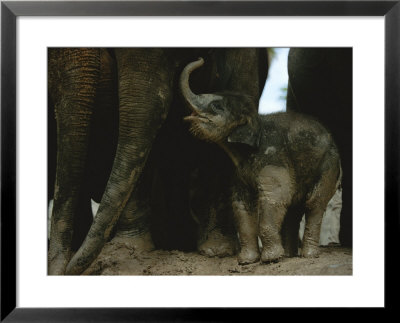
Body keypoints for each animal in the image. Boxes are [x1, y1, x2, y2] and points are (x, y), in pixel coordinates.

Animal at [180, 57, 340, 266]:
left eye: (217, 106)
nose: (201, 59)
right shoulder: (239, 172)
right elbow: (240, 203)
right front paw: (246, 261)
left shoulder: (272, 158)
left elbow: (275, 198)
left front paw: (270, 259)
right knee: (294, 207)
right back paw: (288, 256)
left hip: (329, 165)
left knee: (314, 203)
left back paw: (307, 256)